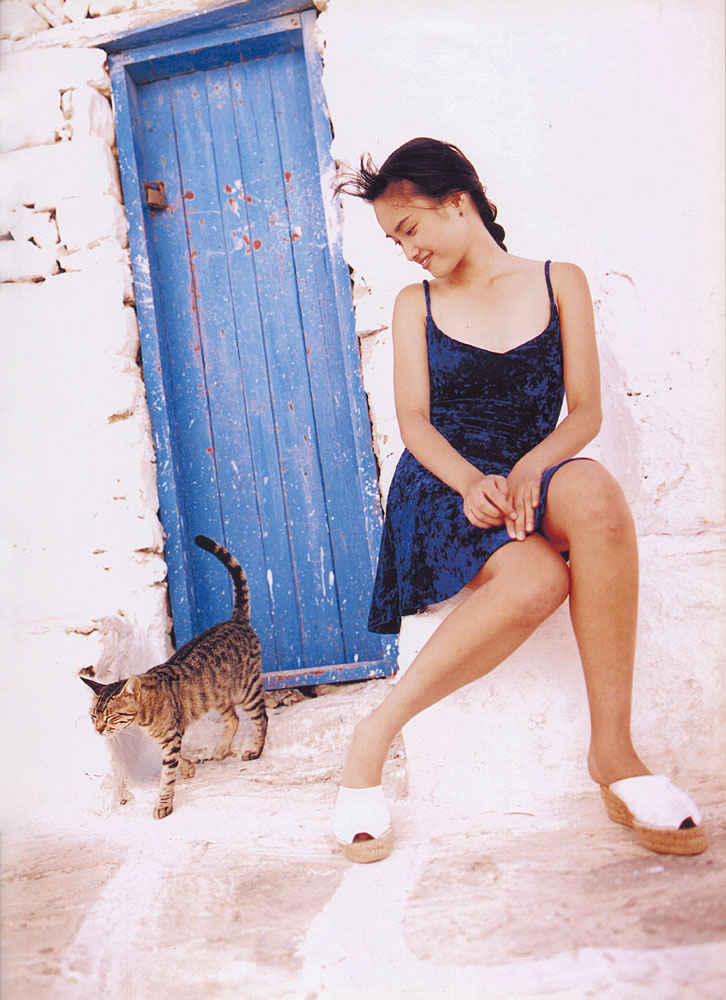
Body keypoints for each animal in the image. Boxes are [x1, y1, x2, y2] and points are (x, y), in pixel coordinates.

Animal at [81, 534, 268, 819]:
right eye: (94, 716)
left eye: (111, 717)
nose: (99, 729)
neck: (144, 718)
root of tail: (236, 621)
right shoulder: (172, 735)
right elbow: (177, 761)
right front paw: (189, 767)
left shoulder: (171, 738)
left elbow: (167, 776)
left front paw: (164, 803)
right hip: (217, 694)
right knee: (233, 718)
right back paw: (221, 749)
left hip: (247, 689)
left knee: (261, 718)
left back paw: (255, 750)